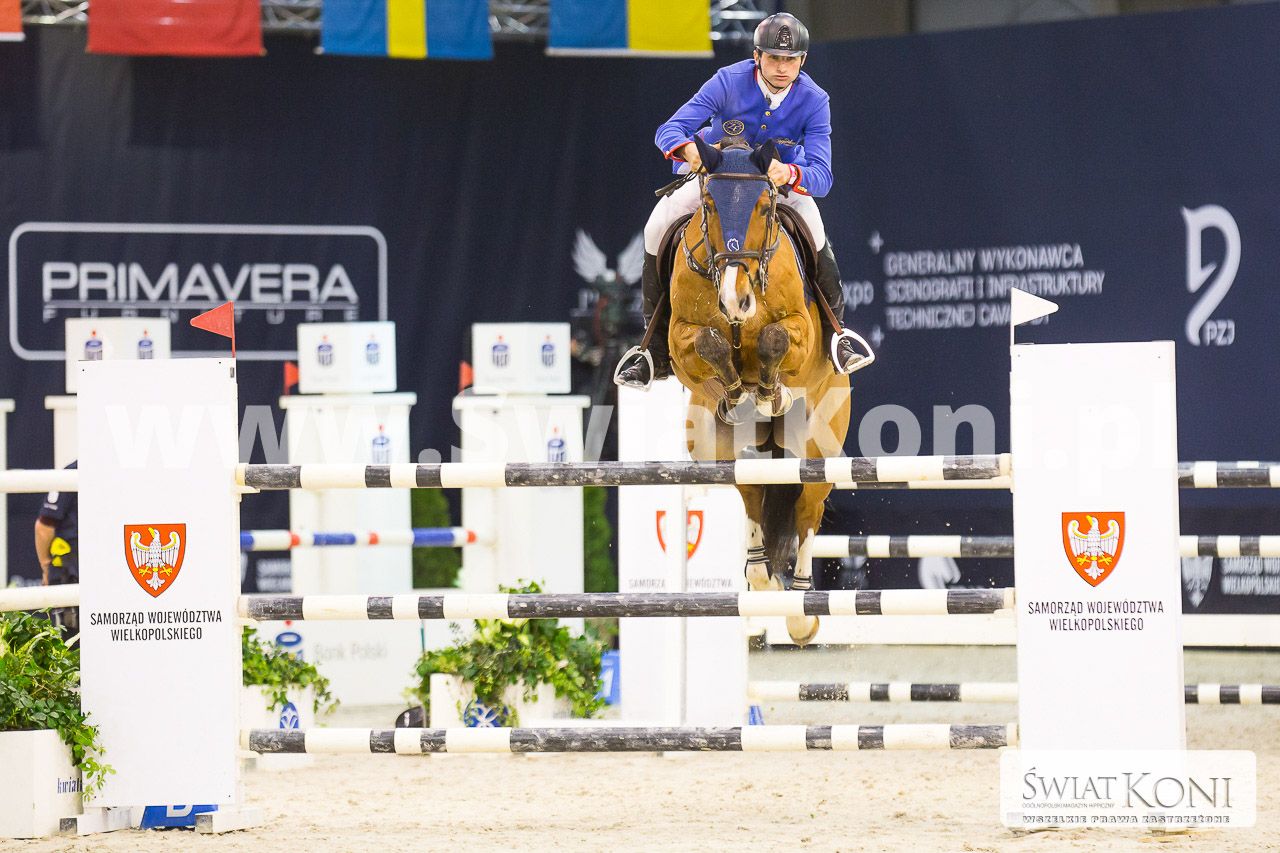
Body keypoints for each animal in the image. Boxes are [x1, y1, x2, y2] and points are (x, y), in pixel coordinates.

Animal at [666, 136, 852, 645]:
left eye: (766, 206)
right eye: (708, 204)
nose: (736, 299)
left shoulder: (801, 332)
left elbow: (774, 338)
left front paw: (770, 391)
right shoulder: (678, 341)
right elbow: (708, 343)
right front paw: (735, 389)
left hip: (818, 441)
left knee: (808, 505)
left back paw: (801, 611)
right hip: (719, 446)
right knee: (749, 492)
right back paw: (762, 578)